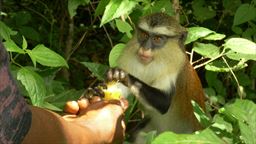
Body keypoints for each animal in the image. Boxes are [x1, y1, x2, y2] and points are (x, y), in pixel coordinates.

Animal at [107, 12, 205, 141]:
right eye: (144, 35)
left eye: (157, 38)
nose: (145, 48)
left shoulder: (174, 64)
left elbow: (164, 101)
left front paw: (124, 76)